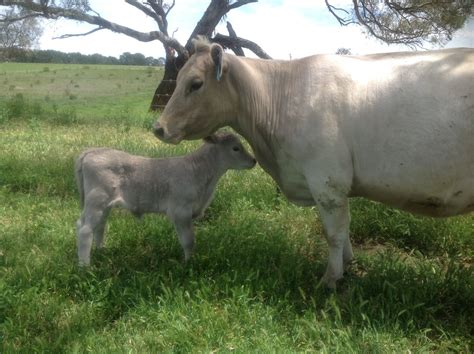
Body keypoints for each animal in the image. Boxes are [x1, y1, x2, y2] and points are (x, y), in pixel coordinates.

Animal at [75, 133, 256, 266]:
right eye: (235, 148)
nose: (254, 160)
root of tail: (93, 151)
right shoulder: (181, 211)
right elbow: (188, 240)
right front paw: (188, 263)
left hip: (103, 204)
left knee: (98, 226)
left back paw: (102, 251)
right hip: (97, 201)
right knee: (85, 230)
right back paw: (85, 266)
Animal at [154, 38, 472, 288]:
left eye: (196, 83)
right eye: (177, 79)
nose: (159, 127)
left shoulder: (327, 181)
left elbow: (333, 233)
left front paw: (330, 279)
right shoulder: (336, 186)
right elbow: (344, 229)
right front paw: (348, 265)